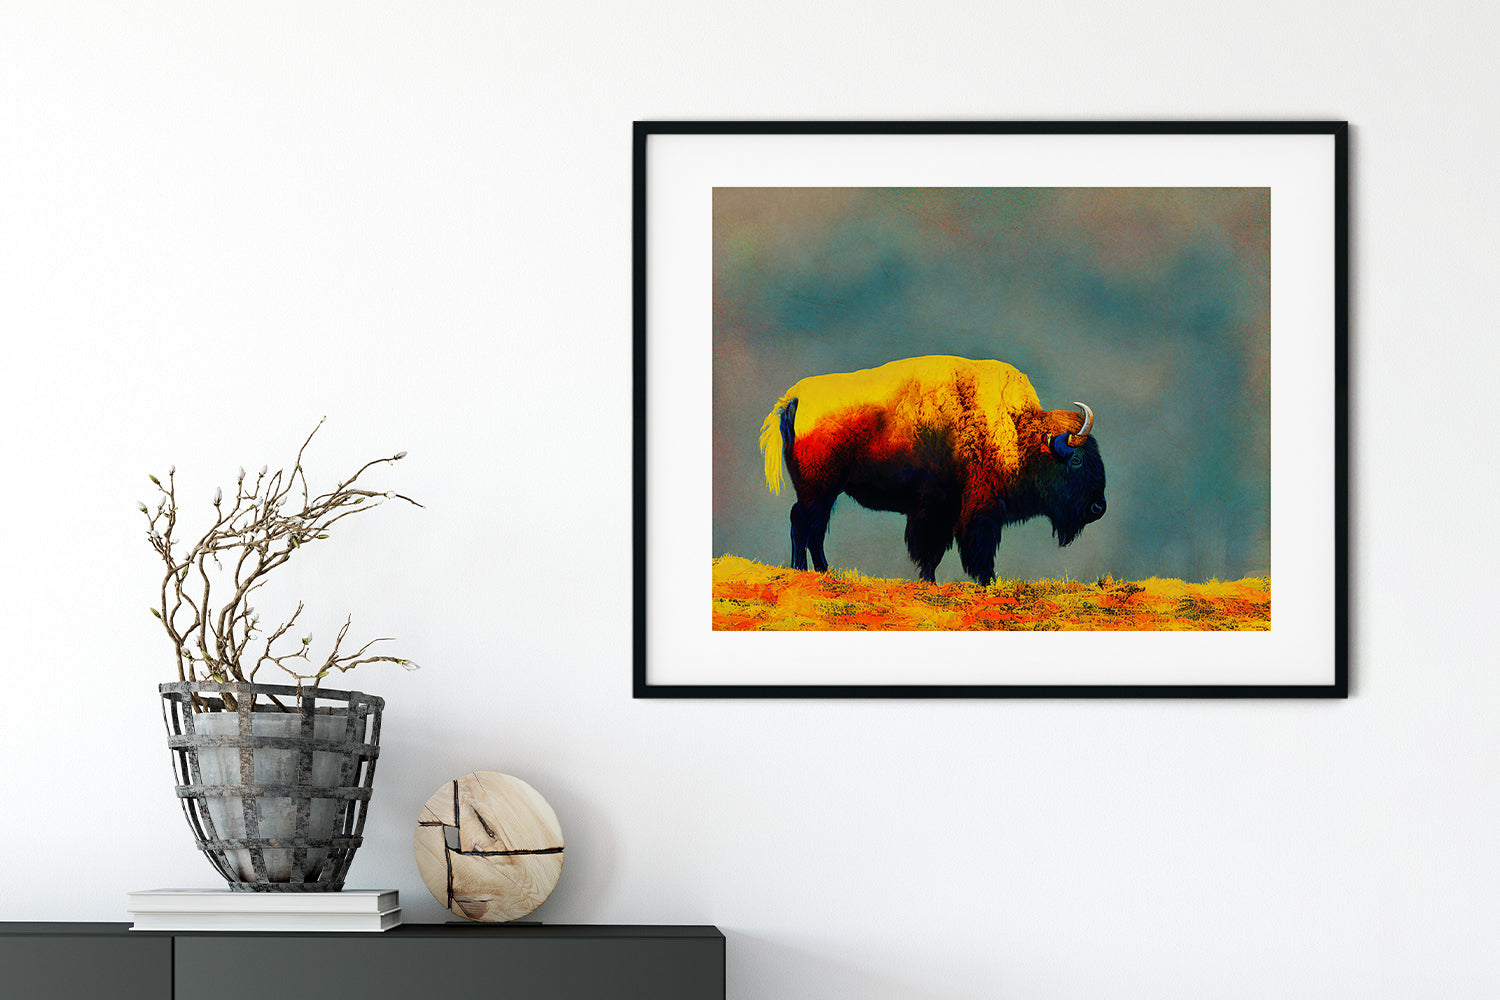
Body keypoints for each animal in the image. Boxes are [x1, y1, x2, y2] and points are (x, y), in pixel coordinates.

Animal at [759, 355, 1106, 585]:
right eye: (1077, 460)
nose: (1098, 507)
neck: (1017, 433)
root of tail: (795, 399)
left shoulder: (944, 512)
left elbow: (935, 551)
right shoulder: (968, 511)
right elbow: (957, 549)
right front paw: (980, 580)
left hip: (819, 491)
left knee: (804, 524)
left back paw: (809, 570)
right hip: (821, 489)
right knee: (808, 525)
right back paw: (817, 570)